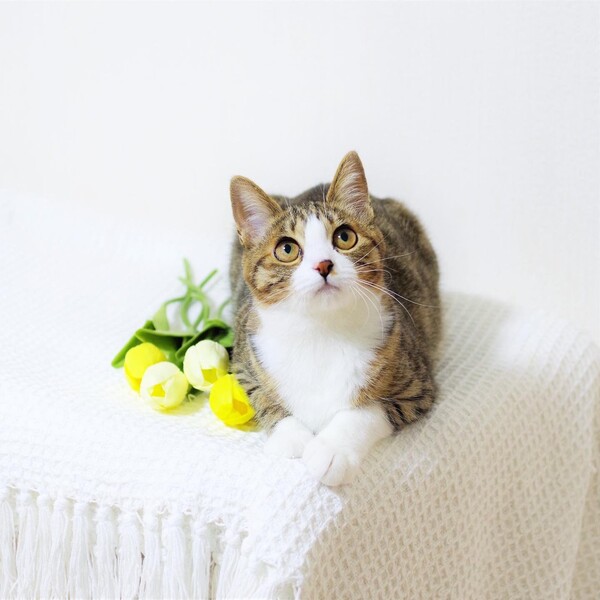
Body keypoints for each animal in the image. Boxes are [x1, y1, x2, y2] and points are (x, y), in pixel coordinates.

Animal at [229, 151, 441, 486]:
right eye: (286, 249)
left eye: (344, 237)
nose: (324, 264)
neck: (321, 330)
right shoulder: (245, 361)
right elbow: (261, 396)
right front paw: (291, 437)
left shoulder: (416, 385)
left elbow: (368, 410)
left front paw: (332, 450)